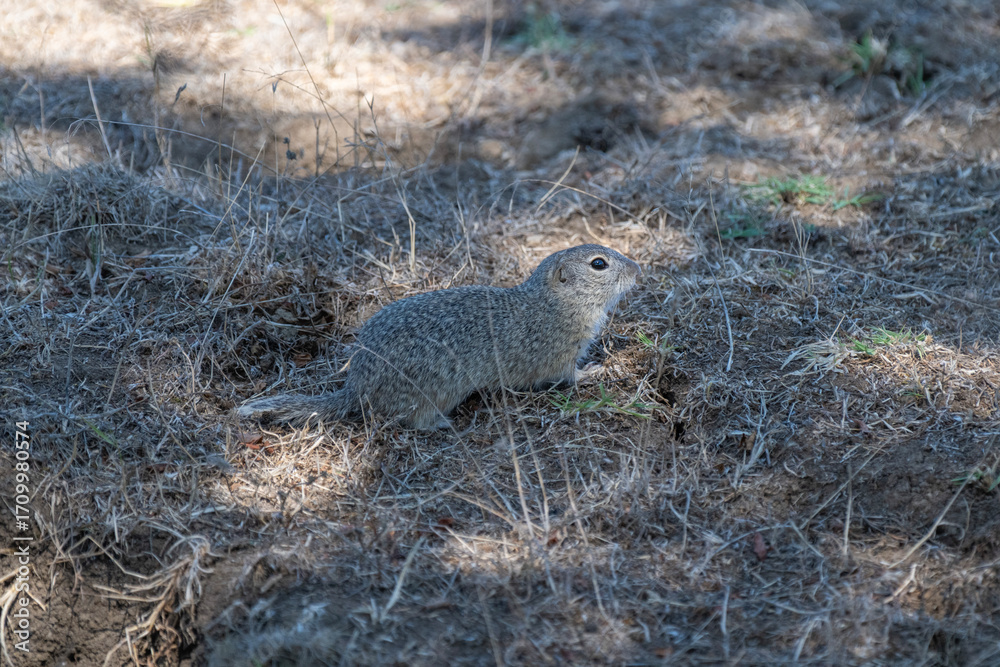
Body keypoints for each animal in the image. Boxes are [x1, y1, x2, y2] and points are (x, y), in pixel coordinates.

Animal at [237, 244, 641, 430]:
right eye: (599, 264)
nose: (638, 267)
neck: (554, 302)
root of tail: (355, 387)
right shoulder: (559, 357)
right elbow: (567, 377)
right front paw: (595, 372)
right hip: (434, 393)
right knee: (414, 421)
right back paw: (442, 424)